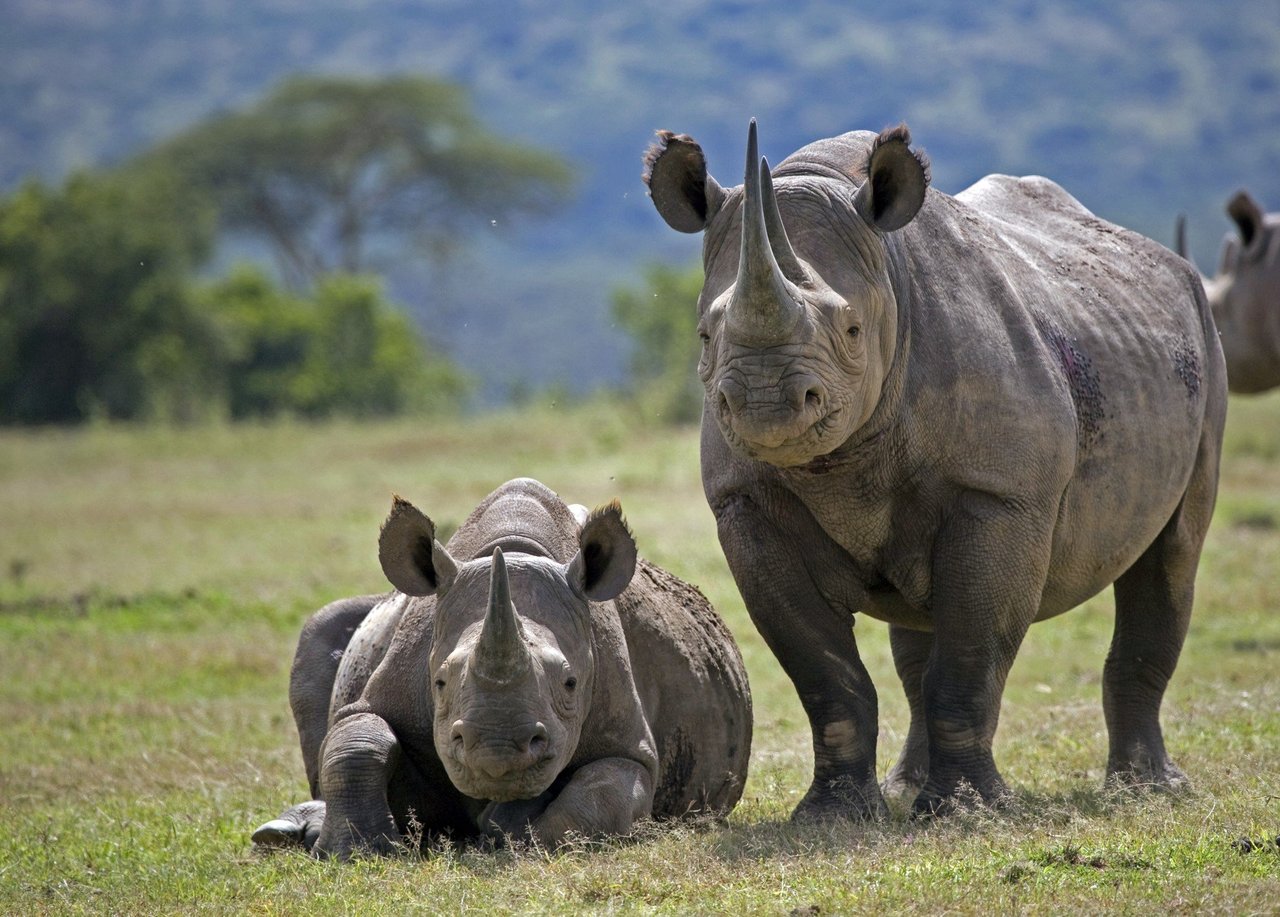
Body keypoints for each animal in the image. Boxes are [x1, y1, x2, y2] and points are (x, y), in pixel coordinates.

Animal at [252, 476, 747, 855]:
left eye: (570, 683)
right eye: (439, 682)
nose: (496, 752)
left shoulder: (629, 743)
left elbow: (603, 793)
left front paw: (513, 834)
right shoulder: (386, 688)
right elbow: (357, 739)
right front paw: (354, 852)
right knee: (322, 631)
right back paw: (284, 833)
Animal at [645, 119, 1223, 814]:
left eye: (852, 331)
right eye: (705, 336)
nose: (765, 404)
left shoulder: (1001, 494)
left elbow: (970, 657)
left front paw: (973, 812)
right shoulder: (746, 504)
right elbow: (824, 673)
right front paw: (834, 814)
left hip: (1203, 341)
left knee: (1173, 551)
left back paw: (1148, 791)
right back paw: (908, 788)